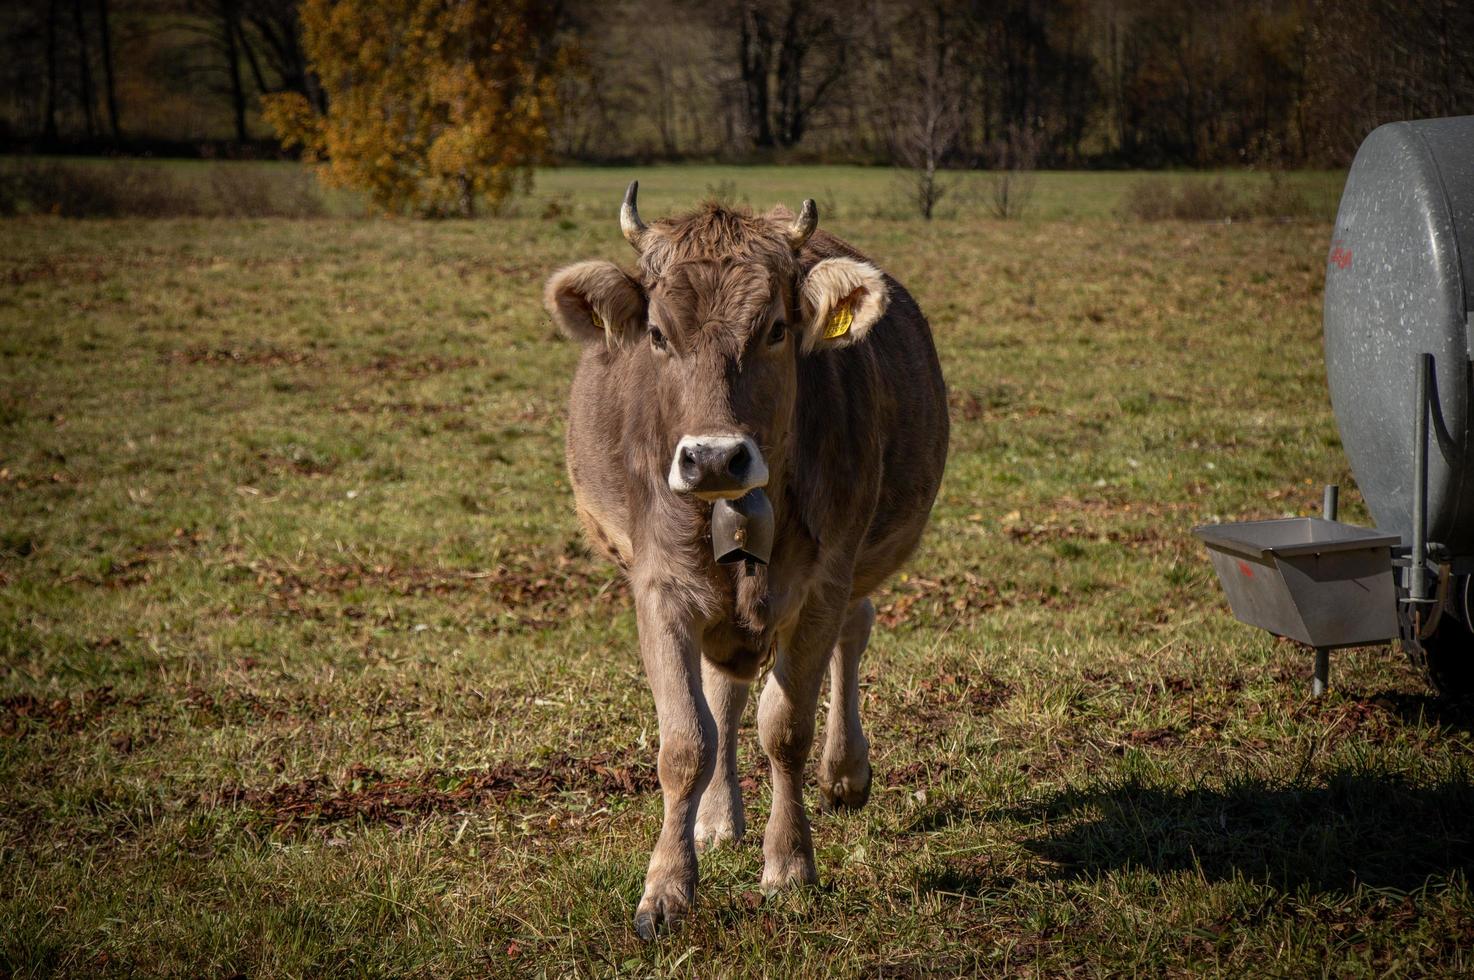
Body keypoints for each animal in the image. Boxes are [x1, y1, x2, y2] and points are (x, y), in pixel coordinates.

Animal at [542, 179, 943, 937]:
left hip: (853, 569)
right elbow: (686, 742)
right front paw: (667, 887)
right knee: (721, 692)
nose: (713, 457)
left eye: (776, 330)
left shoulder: (822, 584)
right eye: (658, 335)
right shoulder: (660, 589)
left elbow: (785, 727)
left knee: (855, 630)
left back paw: (845, 772)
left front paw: (788, 866)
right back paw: (717, 818)